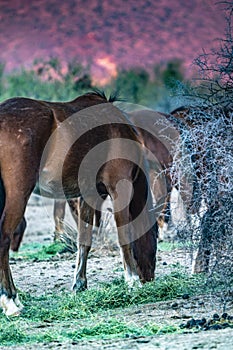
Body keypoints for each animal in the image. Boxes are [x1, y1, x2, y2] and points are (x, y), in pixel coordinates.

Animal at [0, 91, 157, 316]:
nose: (149, 278)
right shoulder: (119, 189)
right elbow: (124, 237)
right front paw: (132, 280)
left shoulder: (89, 195)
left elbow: (84, 241)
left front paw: (79, 285)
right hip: (18, 194)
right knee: (4, 238)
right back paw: (10, 300)